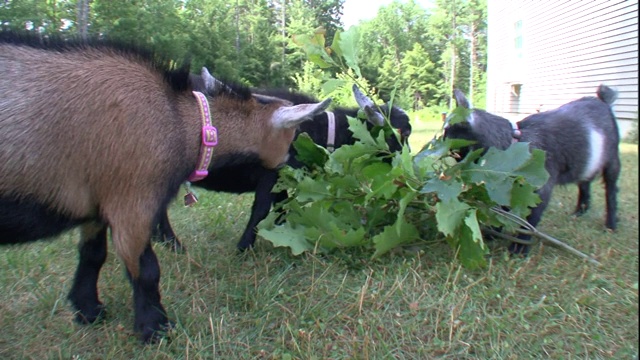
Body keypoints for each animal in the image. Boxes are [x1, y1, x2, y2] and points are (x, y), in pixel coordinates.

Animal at [0, 31, 330, 344]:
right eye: (292, 135)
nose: (291, 164)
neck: (179, 119)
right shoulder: (131, 200)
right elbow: (146, 269)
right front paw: (155, 328)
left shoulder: (97, 201)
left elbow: (93, 254)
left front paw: (88, 310)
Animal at [158, 84, 412, 252]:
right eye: (403, 132)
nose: (407, 163)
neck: (317, 127)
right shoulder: (270, 175)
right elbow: (261, 210)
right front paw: (243, 248)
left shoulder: (282, 179)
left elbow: (283, 206)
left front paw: (286, 232)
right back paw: (174, 245)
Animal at [444, 84, 620, 255]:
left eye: (449, 135)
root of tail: (604, 101)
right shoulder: (508, 189)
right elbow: (502, 211)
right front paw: (492, 233)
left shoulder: (540, 188)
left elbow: (531, 218)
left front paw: (518, 249)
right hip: (585, 164)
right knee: (585, 183)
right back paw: (579, 212)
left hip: (612, 160)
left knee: (611, 191)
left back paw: (610, 225)